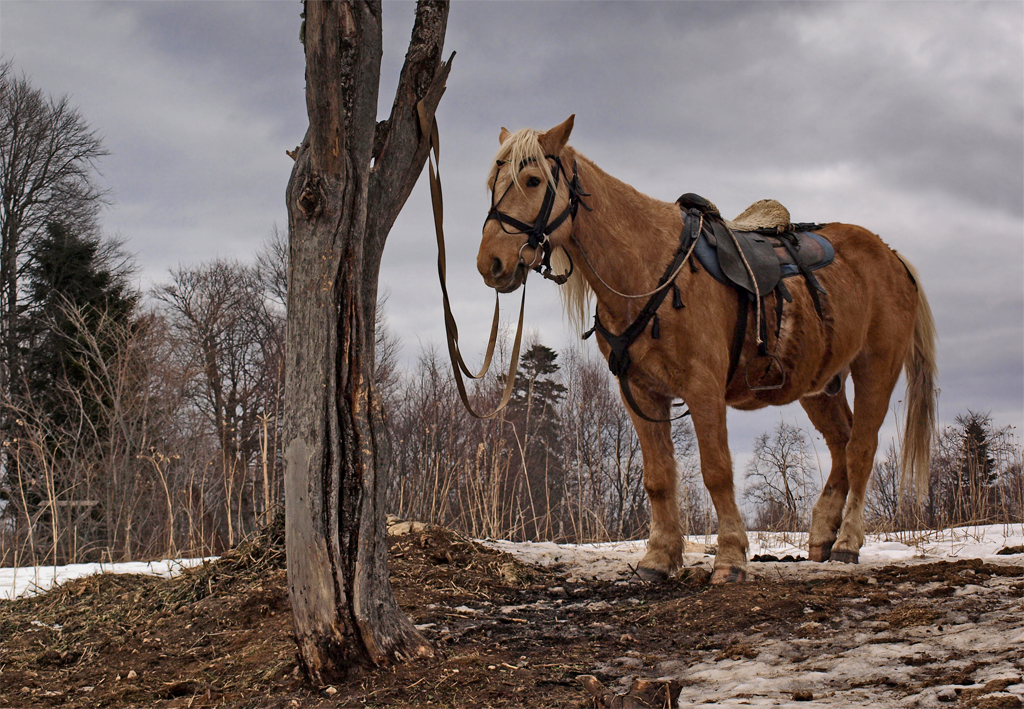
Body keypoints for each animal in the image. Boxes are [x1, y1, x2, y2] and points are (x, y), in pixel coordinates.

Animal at [471, 114, 937, 581]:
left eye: (532, 180)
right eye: (491, 182)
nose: (490, 263)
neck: (650, 269)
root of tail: (893, 256)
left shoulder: (703, 388)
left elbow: (716, 471)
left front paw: (730, 557)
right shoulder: (640, 392)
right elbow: (658, 477)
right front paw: (658, 557)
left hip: (876, 367)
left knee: (860, 449)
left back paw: (847, 542)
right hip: (820, 384)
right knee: (841, 444)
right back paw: (822, 535)